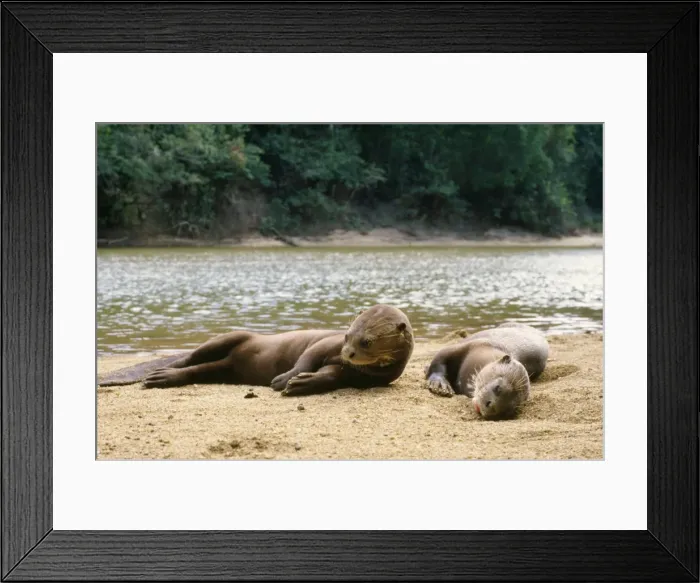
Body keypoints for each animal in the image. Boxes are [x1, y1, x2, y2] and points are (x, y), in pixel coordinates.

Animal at [98, 304, 414, 396]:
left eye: (367, 342)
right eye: (348, 335)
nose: (348, 353)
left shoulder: (361, 376)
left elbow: (331, 375)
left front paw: (301, 384)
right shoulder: (328, 342)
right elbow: (308, 356)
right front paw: (285, 379)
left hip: (225, 369)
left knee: (199, 370)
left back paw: (162, 378)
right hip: (231, 337)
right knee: (191, 357)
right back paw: (159, 372)